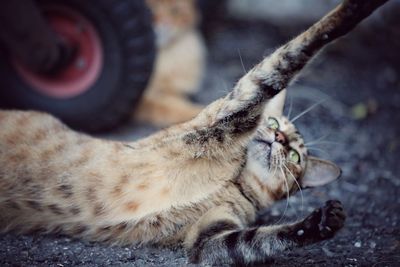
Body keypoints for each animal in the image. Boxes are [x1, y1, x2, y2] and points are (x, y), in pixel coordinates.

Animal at [0, 0, 388, 266]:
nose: (278, 139)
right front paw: (354, 10)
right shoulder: (231, 111)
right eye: (275, 125)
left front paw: (323, 222)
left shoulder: (212, 238)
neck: (236, 181)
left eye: (294, 155)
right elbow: (294, 53)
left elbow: (266, 238)